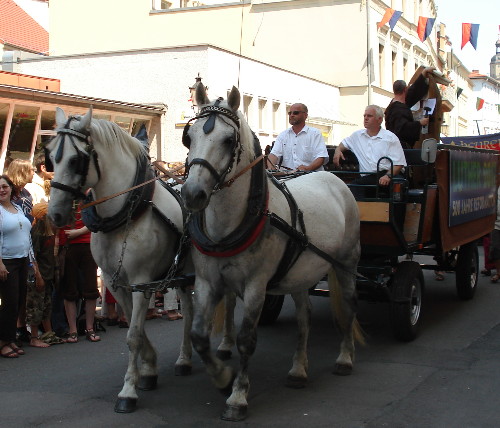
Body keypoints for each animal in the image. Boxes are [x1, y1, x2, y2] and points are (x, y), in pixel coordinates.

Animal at [45, 108, 204, 414]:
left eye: (76, 159)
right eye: (50, 155)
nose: (55, 215)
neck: (125, 213)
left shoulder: (142, 281)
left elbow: (133, 335)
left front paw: (128, 391)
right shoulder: (113, 282)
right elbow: (133, 325)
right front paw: (149, 369)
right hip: (180, 273)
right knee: (189, 310)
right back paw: (184, 359)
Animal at [182, 86, 362, 422]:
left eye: (228, 140)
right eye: (189, 136)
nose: (192, 194)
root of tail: (333, 178)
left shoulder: (256, 286)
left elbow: (246, 340)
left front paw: (237, 396)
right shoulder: (207, 282)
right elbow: (199, 335)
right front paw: (222, 378)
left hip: (346, 263)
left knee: (348, 305)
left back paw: (345, 358)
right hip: (301, 272)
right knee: (304, 316)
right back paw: (298, 370)